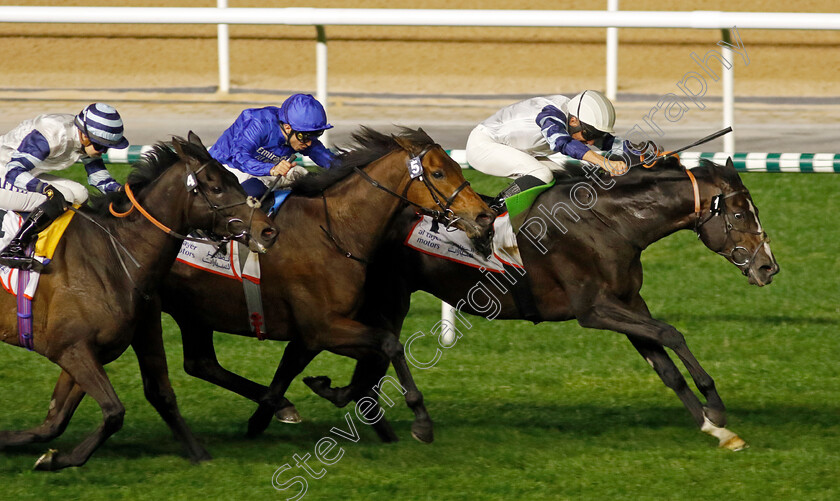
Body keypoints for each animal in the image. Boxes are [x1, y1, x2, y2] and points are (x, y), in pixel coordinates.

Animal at [0, 133, 278, 468]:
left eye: (235, 179)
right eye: (216, 188)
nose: (268, 230)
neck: (114, 255)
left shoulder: (104, 346)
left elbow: (57, 420)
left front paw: (200, 455)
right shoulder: (70, 348)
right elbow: (114, 412)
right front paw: (61, 459)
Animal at [161, 126, 496, 442]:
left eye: (456, 167)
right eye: (438, 173)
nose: (484, 216)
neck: (334, 230)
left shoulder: (313, 333)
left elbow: (307, 366)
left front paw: (289, 404)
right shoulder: (322, 326)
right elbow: (389, 345)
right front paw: (421, 420)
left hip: (193, 313)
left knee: (201, 363)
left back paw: (281, 406)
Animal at [298, 155, 776, 450]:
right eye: (739, 214)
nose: (768, 267)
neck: (610, 222)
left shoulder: (627, 304)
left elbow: (665, 365)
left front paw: (715, 429)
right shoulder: (594, 310)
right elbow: (671, 333)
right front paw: (716, 407)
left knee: (372, 356)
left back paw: (341, 395)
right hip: (391, 296)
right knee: (373, 350)